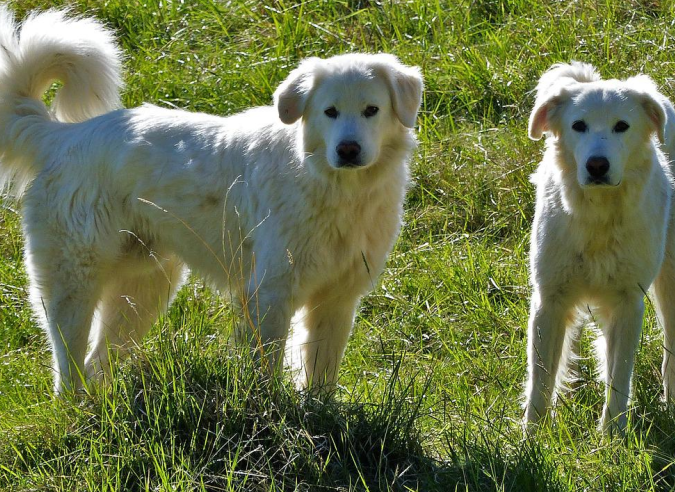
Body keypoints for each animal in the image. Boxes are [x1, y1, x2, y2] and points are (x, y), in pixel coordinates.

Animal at [0, 8, 422, 396]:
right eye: (329, 112)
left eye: (371, 110)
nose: (348, 150)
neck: (336, 189)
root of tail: (63, 136)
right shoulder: (269, 292)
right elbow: (266, 368)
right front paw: (271, 413)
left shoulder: (337, 298)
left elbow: (321, 373)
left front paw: (319, 414)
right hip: (75, 280)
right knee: (68, 367)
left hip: (144, 288)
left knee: (96, 362)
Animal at [524, 62, 675, 434]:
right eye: (578, 126)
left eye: (622, 126)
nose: (597, 165)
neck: (599, 217)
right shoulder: (550, 300)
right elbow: (541, 379)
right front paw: (531, 437)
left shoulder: (628, 303)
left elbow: (619, 377)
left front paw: (613, 437)